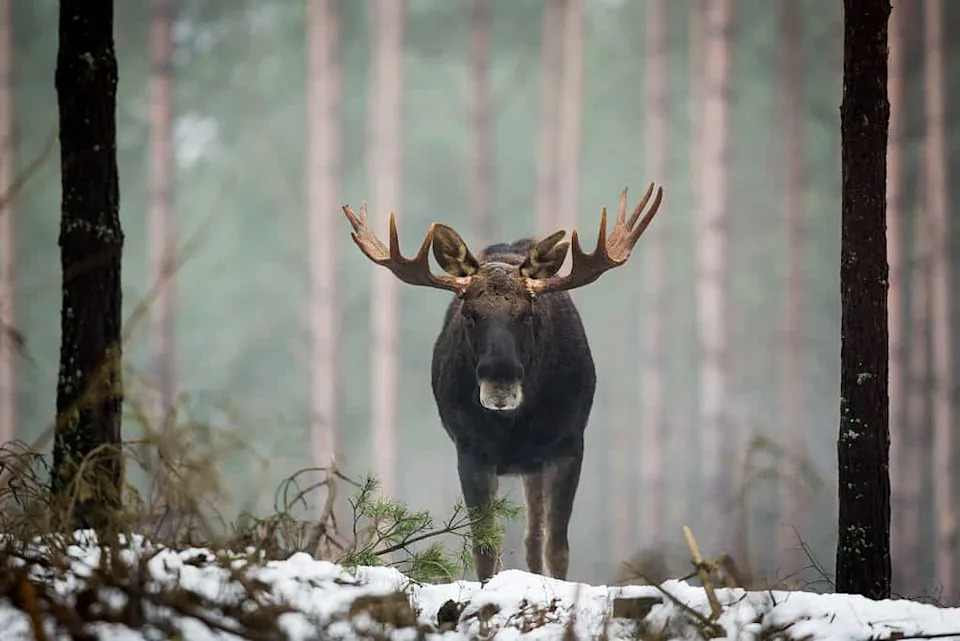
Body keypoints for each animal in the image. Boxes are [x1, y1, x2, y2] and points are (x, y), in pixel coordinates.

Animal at [342, 182, 664, 581]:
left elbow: (557, 548)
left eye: (527, 313)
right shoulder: (469, 449)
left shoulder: (569, 444)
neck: (513, 425)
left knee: (534, 538)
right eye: (469, 313)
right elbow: (485, 549)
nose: (500, 380)